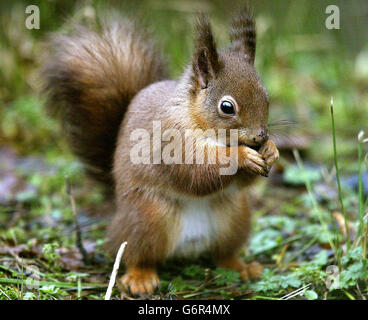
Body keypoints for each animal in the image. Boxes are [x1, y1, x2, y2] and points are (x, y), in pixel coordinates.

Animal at [42, 6, 278, 296]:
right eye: (227, 107)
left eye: (266, 97)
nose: (260, 136)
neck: (196, 119)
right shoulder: (170, 140)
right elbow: (197, 173)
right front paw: (242, 156)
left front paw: (271, 151)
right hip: (148, 220)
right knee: (136, 254)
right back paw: (140, 278)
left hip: (234, 219)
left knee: (223, 254)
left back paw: (241, 267)